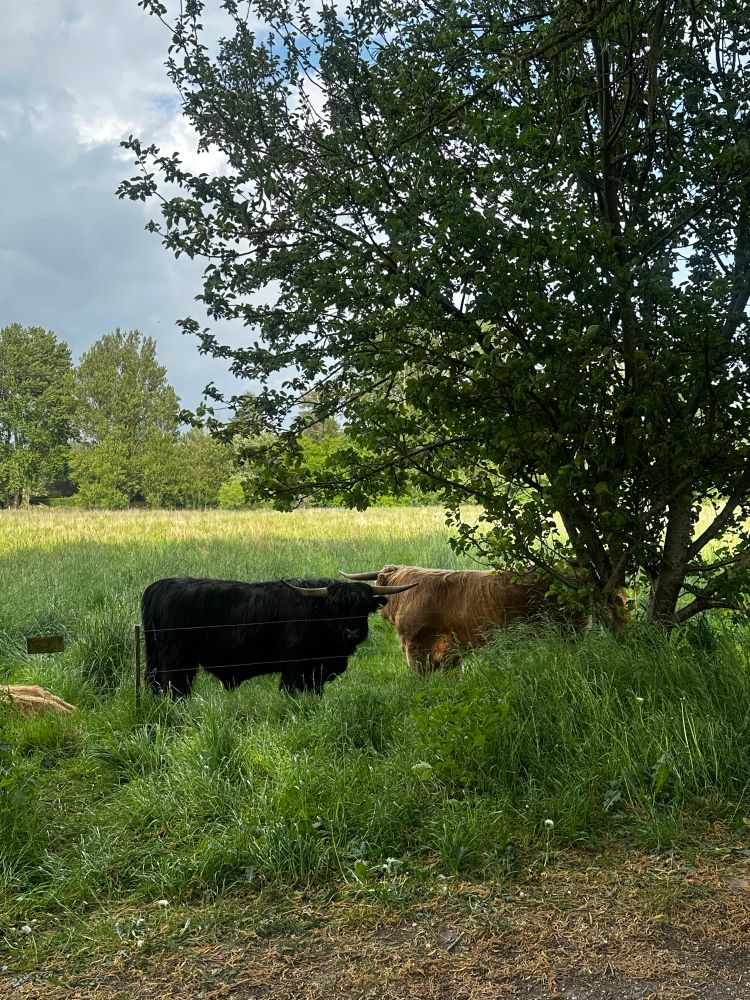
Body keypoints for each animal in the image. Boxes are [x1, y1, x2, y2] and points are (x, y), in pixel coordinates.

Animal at [141, 575, 416, 697]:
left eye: (363, 608)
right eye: (335, 609)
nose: (352, 631)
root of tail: (160, 585)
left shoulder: (316, 674)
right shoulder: (295, 668)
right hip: (178, 662)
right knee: (176, 689)